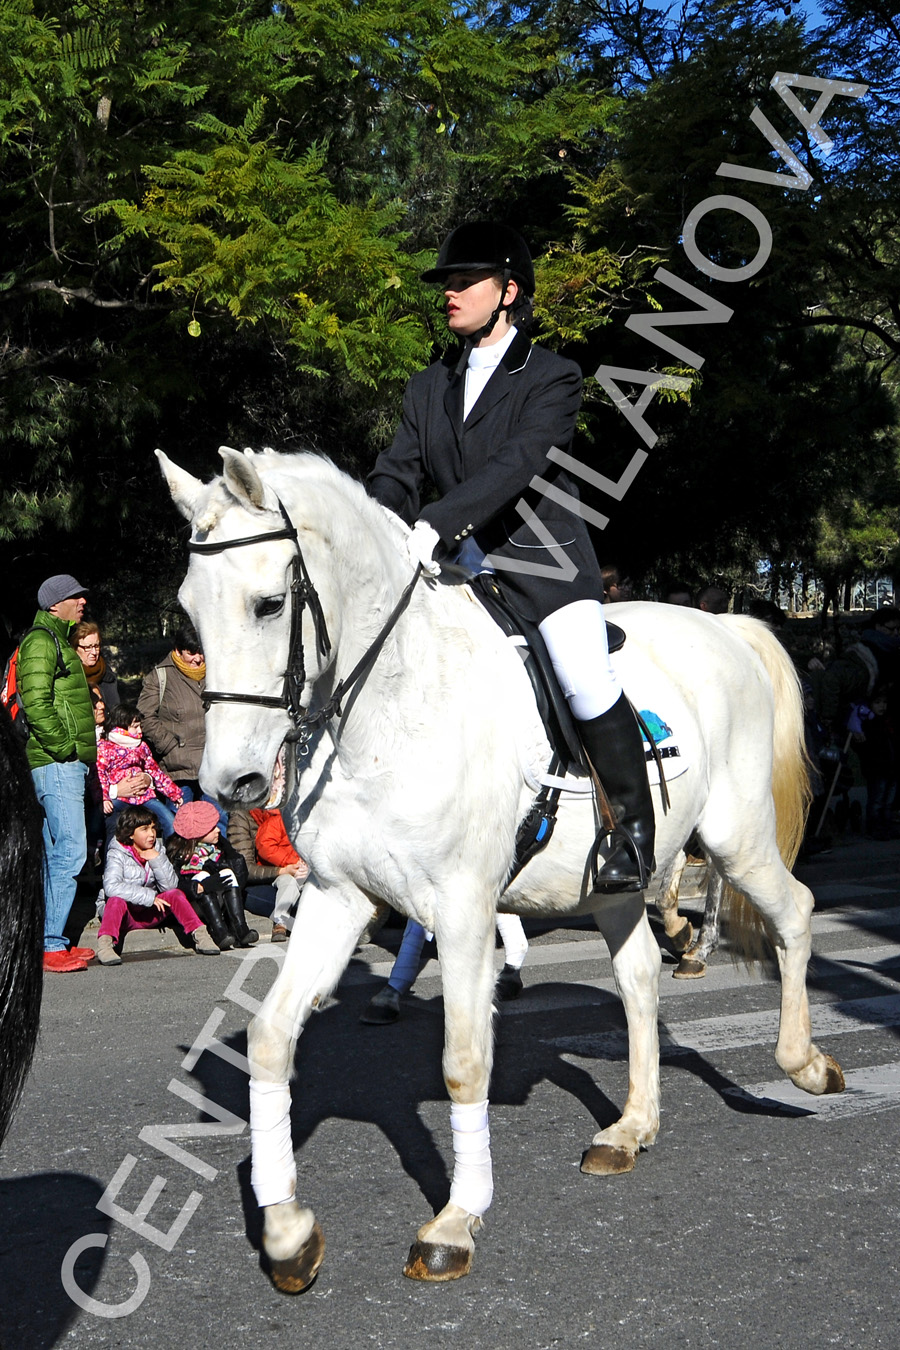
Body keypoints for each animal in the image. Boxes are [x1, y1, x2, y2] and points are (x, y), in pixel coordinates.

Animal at [159, 448, 847, 1290]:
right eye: (190, 611)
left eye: (266, 605)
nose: (232, 784)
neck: (389, 709)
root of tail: (723, 625)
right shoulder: (338, 897)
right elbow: (269, 1038)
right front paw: (287, 1231)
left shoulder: (460, 907)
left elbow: (463, 1061)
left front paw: (456, 1220)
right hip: (617, 880)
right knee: (639, 977)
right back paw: (632, 1125)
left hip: (736, 835)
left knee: (794, 912)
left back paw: (806, 1066)